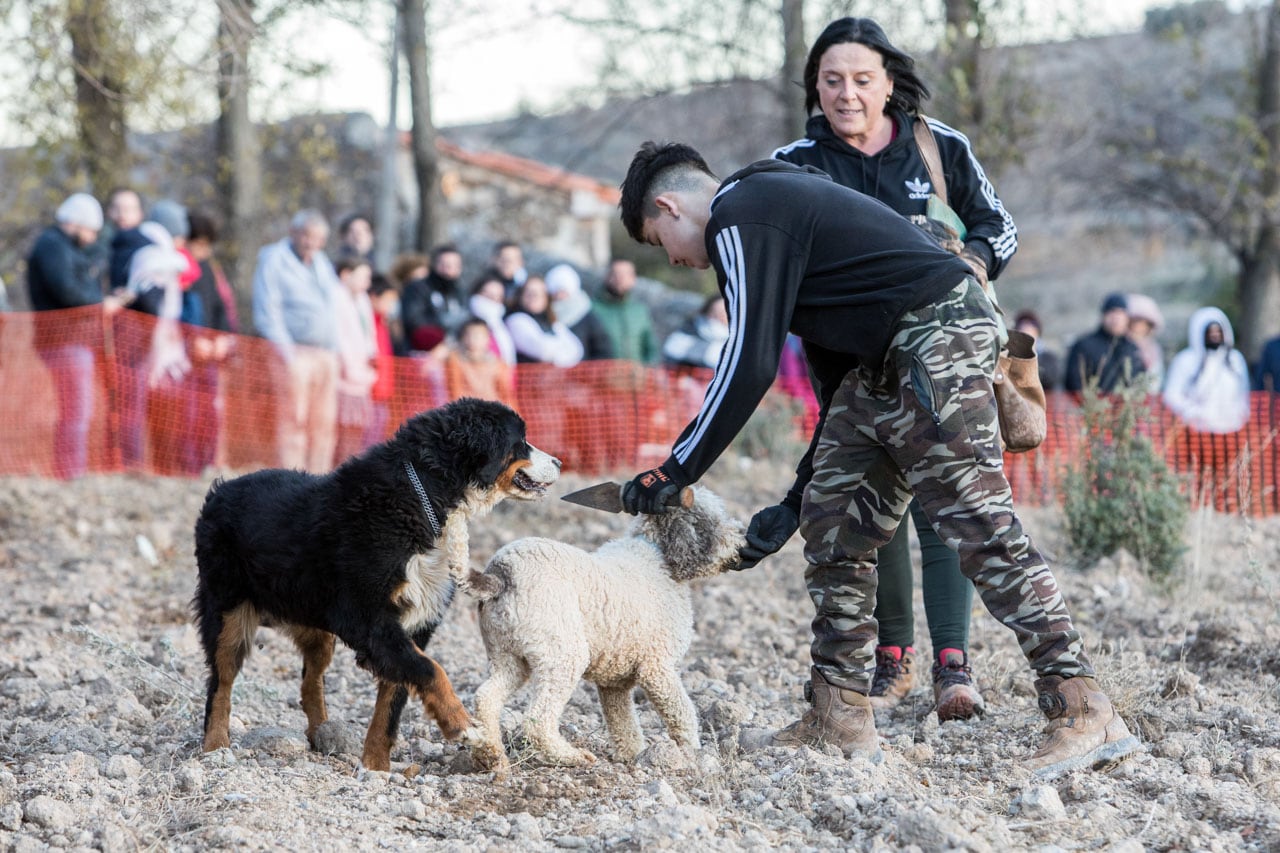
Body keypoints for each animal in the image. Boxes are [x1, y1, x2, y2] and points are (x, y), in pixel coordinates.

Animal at [188, 399, 555, 768]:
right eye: (521, 440)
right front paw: (463, 725)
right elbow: (430, 669)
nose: (559, 462)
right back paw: (216, 747)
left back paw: (323, 734)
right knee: (220, 681)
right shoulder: (368, 619)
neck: (423, 494)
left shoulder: (413, 622)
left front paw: (376, 767)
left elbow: (391, 705)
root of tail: (221, 489)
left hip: (312, 620)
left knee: (310, 682)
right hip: (228, 613)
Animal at [463, 484, 742, 768]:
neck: (658, 557)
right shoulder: (657, 668)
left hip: (508, 657)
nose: (742, 540)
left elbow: (624, 725)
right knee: (538, 720)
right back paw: (573, 756)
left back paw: (490, 755)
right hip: (563, 655)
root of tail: (499, 576)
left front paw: (633, 757)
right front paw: (693, 755)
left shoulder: (615, 682)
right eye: (708, 521)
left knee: (485, 698)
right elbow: (683, 713)